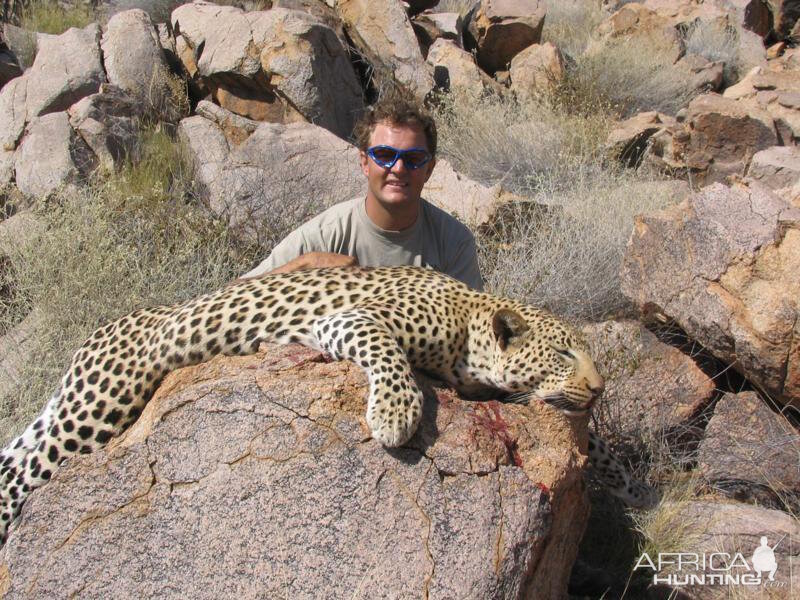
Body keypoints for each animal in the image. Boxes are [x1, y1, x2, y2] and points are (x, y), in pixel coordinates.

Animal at [0, 266, 656, 544]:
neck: (471, 323)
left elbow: (592, 441)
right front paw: (394, 416)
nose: (601, 388)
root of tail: (103, 327)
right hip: (99, 406)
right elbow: (389, 356)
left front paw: (633, 486)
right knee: (20, 473)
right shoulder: (351, 321)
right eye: (565, 353)